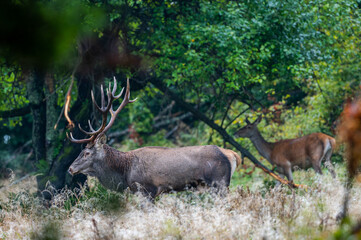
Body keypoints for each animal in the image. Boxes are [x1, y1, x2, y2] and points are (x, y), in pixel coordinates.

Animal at [66, 78, 240, 198]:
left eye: (87, 153)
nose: (70, 168)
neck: (125, 172)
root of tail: (233, 154)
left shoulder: (146, 189)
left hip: (219, 183)